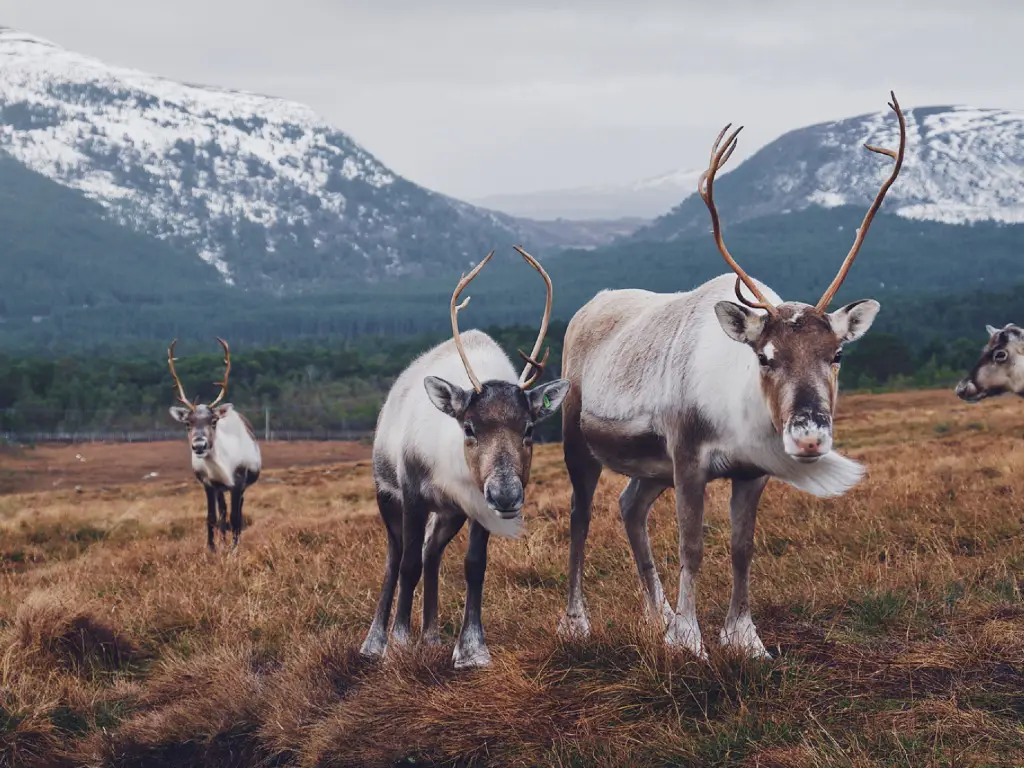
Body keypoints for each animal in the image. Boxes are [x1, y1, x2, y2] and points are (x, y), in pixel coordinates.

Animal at [167, 338, 261, 553]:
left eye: (213, 421)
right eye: (187, 423)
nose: (199, 445)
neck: (223, 466)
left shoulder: (238, 481)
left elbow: (236, 518)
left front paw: (234, 549)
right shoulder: (209, 483)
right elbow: (212, 517)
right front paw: (212, 548)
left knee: (236, 510)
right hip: (220, 489)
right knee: (222, 513)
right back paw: (222, 541)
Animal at [359, 246, 570, 669]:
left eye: (529, 428)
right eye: (469, 427)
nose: (506, 494)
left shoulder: (474, 506)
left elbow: (474, 565)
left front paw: (471, 649)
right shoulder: (412, 495)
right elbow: (406, 565)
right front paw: (399, 644)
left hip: (449, 513)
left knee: (431, 553)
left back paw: (431, 637)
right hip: (386, 494)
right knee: (397, 557)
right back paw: (375, 642)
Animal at [557, 92, 906, 660]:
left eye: (836, 355)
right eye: (765, 356)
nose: (808, 436)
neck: (734, 414)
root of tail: (588, 308)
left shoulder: (750, 471)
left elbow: (742, 547)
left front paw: (745, 638)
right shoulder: (687, 459)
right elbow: (692, 546)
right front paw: (690, 641)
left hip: (650, 466)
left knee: (629, 506)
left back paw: (658, 615)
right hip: (577, 439)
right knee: (580, 517)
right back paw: (577, 622)